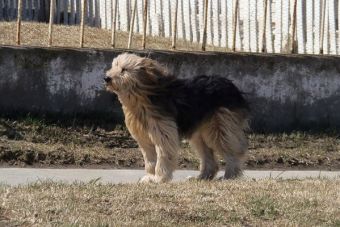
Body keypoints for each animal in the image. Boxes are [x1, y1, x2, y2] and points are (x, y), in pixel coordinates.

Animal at [105, 53, 248, 183]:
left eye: (124, 69)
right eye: (114, 66)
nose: (106, 78)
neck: (142, 96)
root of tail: (231, 86)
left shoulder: (164, 134)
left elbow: (163, 155)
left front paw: (160, 178)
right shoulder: (144, 139)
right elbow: (150, 160)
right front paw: (150, 177)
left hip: (220, 127)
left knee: (232, 151)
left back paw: (230, 176)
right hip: (199, 134)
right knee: (209, 156)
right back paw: (202, 177)